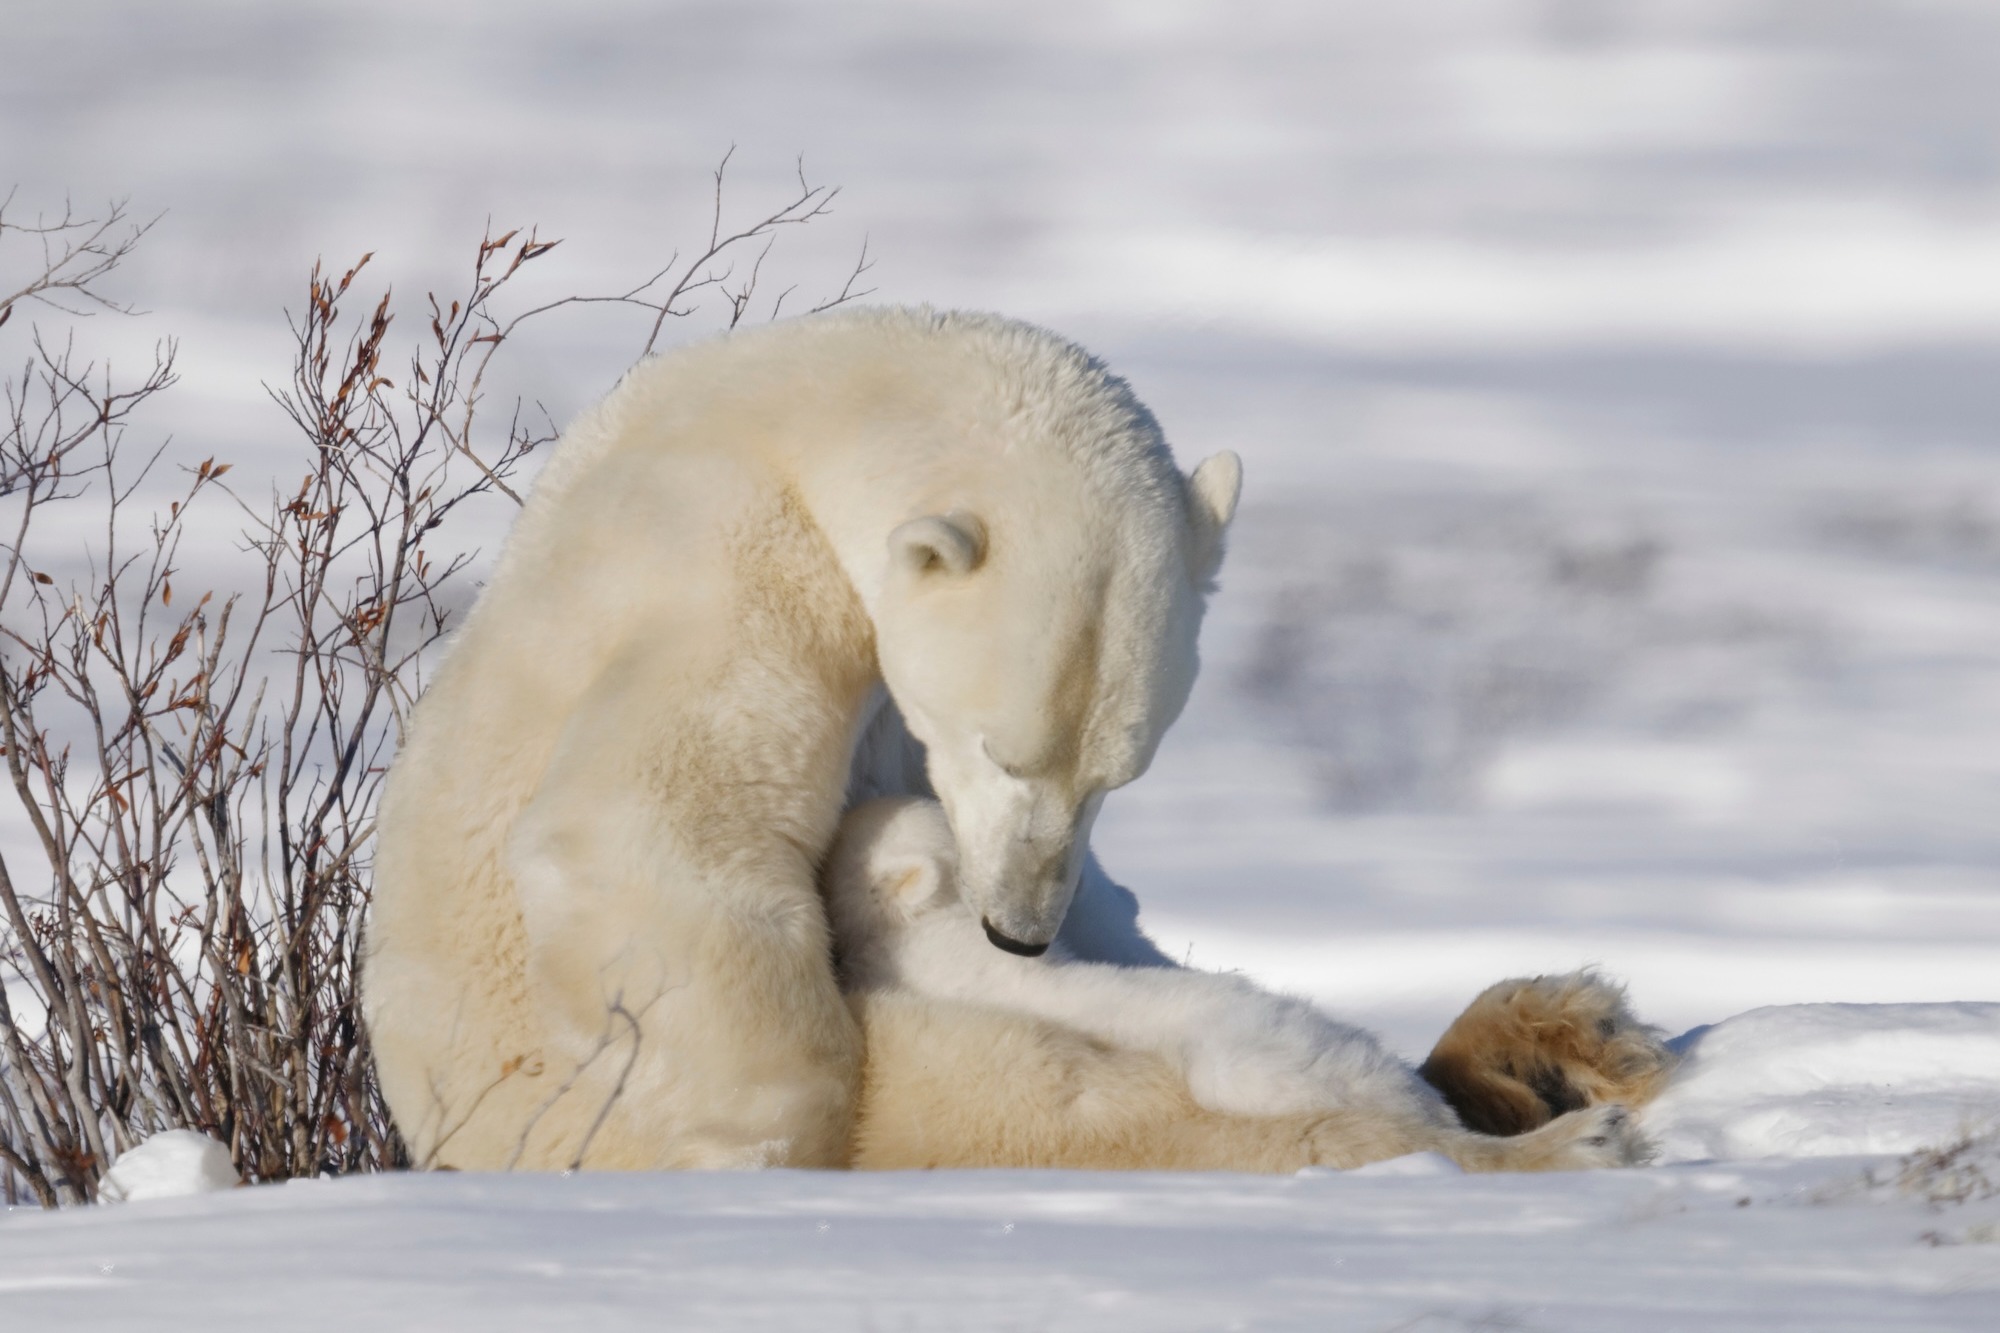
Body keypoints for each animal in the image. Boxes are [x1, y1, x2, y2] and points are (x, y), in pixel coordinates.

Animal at [363, 306, 1251, 1170]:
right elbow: (638, 827)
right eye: (1002, 752)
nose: (1019, 933)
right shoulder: (732, 558)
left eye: (1113, 778)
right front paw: (777, 1144)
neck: (807, 416)